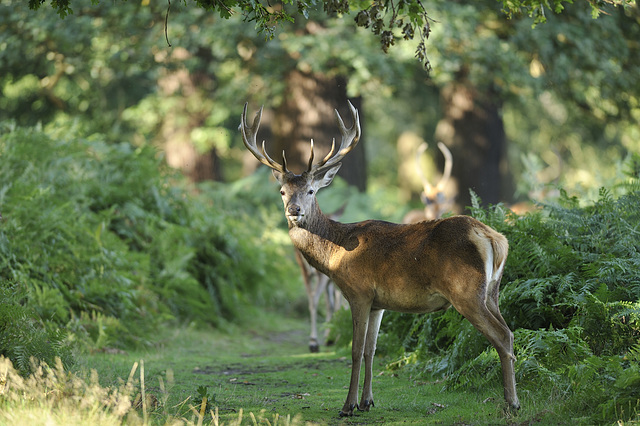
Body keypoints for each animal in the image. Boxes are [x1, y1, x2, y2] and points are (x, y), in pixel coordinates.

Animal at [240, 100, 520, 416]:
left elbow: (355, 350)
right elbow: (371, 350)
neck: (336, 253)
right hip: (492, 291)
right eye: (282, 191)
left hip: (466, 291)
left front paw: (348, 405)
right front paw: (367, 401)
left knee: (501, 336)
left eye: (311, 190)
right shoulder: (378, 304)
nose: (294, 210)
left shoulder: (358, 292)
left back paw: (512, 402)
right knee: (509, 332)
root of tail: (494, 238)